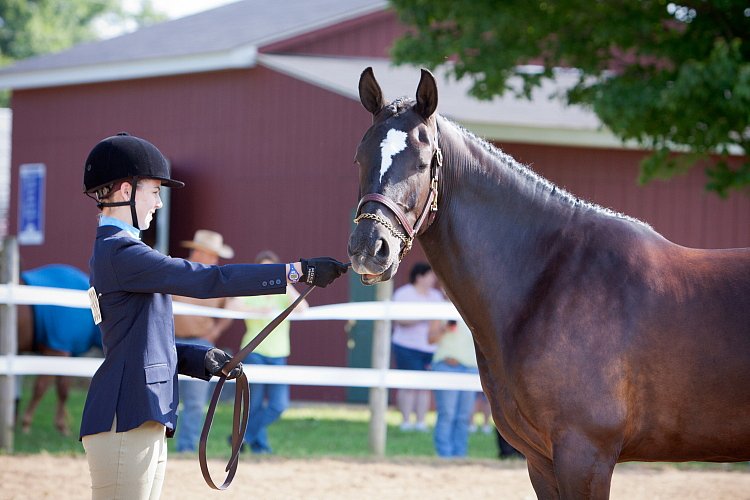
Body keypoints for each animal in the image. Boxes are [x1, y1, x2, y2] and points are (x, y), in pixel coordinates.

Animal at [350, 67, 750, 500]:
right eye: (360, 157)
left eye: (423, 162)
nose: (370, 247)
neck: (550, 281)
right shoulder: (541, 461)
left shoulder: (585, 456)